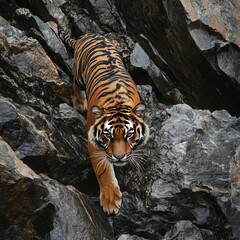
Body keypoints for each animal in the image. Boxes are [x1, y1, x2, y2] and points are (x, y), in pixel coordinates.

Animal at [58, 25, 149, 214]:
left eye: (130, 135)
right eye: (108, 136)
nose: (119, 157)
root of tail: (88, 34)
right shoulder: (93, 143)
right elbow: (103, 170)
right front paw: (110, 200)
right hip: (79, 73)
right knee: (75, 82)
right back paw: (80, 102)